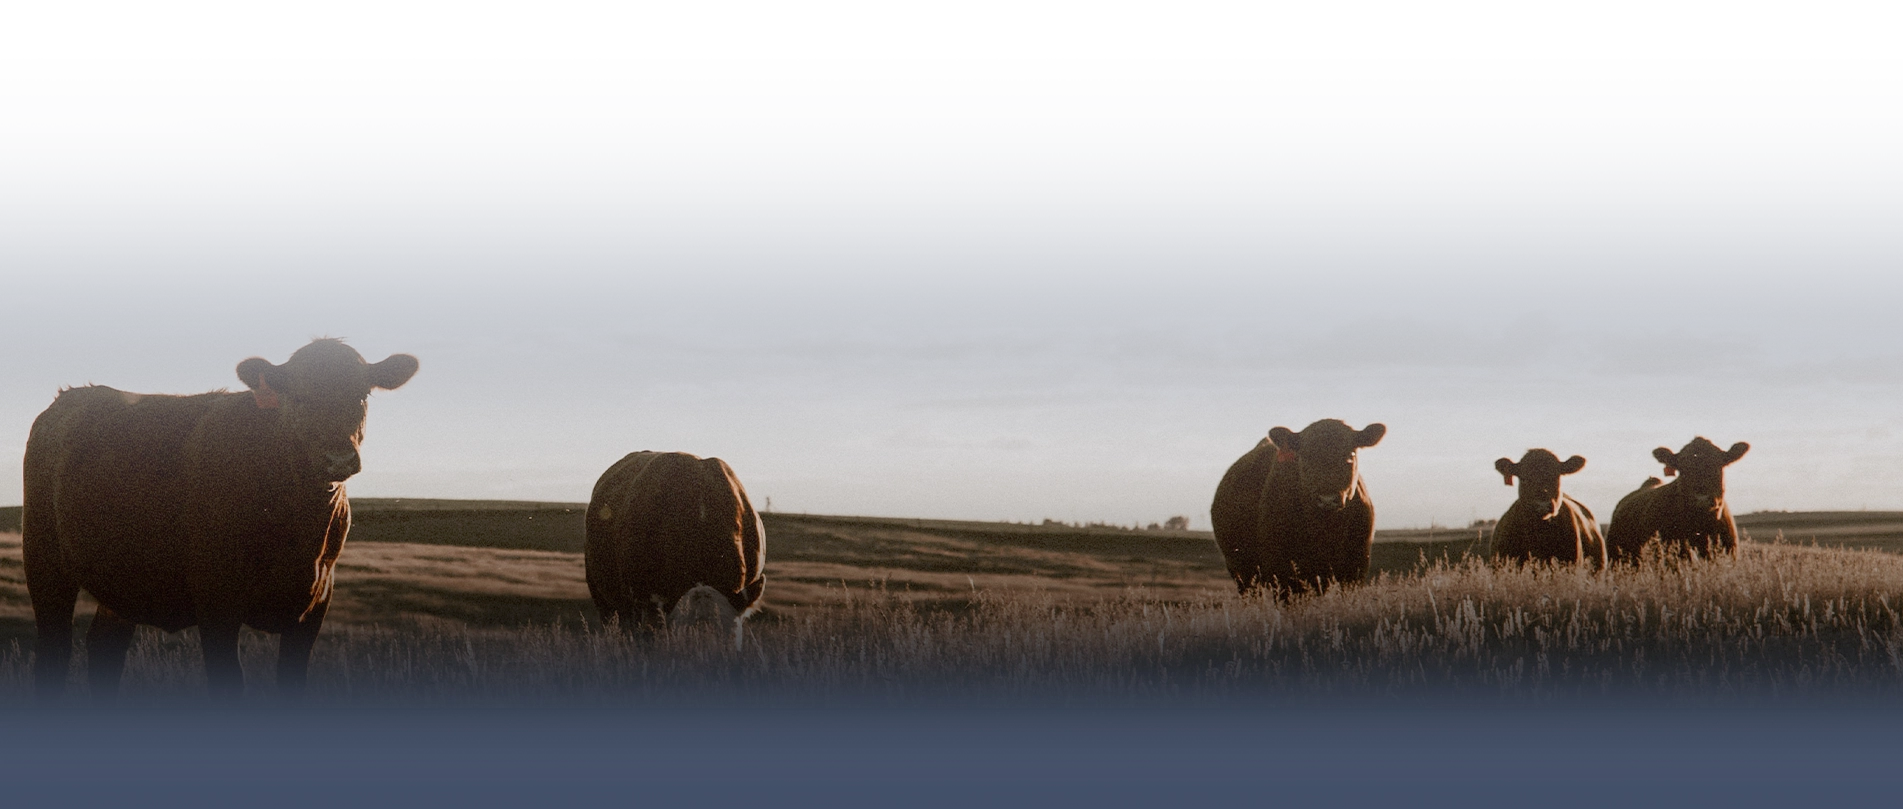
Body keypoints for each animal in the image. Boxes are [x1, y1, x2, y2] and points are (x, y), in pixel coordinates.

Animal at [23, 336, 416, 696]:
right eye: (298, 397)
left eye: (362, 396)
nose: (338, 458)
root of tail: (70, 397)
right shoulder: (217, 601)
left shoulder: (314, 608)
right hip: (44, 562)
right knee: (54, 649)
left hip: (123, 582)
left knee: (104, 647)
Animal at [1210, 418, 1392, 597]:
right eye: (1304, 457)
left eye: (1350, 455)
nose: (1327, 499)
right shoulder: (1282, 573)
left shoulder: (1355, 570)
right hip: (1242, 573)